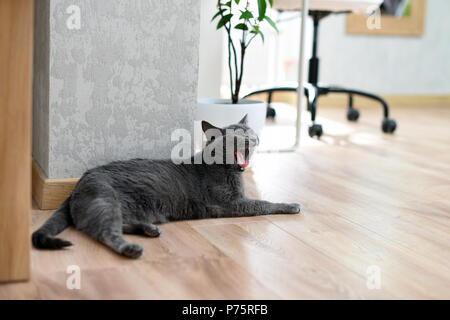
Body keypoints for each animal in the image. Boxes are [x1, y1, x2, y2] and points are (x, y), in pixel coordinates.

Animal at [31, 116, 300, 258]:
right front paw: (292, 205)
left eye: (249, 130)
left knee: (114, 224)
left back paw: (149, 229)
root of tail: (76, 187)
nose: (252, 138)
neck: (228, 170)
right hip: (106, 200)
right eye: (237, 133)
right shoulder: (231, 203)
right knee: (104, 232)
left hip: (125, 206)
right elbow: (263, 203)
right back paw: (132, 248)